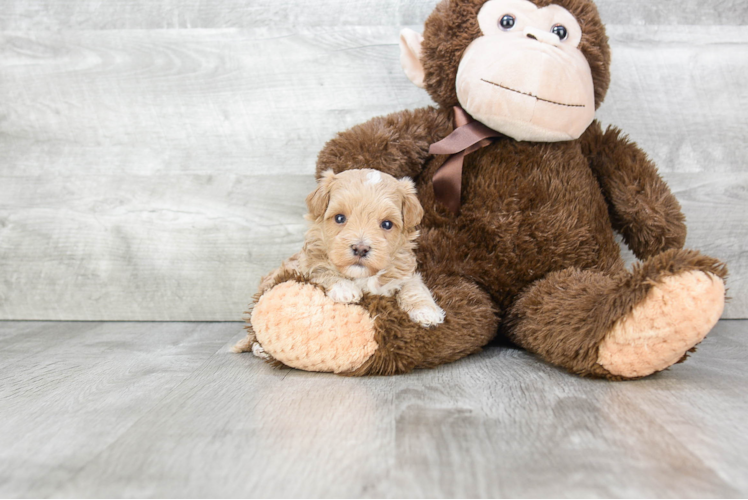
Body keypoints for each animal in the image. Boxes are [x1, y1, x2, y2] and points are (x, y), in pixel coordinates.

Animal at [260, 169, 444, 328]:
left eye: (387, 224)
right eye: (340, 218)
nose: (360, 248)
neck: (362, 276)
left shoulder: (405, 271)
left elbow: (414, 286)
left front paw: (426, 310)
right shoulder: (304, 264)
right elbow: (321, 270)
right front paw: (344, 288)